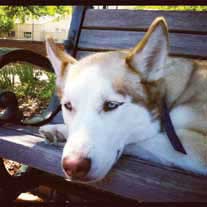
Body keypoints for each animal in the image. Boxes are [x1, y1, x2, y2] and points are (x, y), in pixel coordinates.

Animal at [39, 17, 207, 183]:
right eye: (68, 106)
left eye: (111, 105)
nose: (73, 166)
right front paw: (57, 130)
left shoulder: (197, 146)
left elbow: (140, 139)